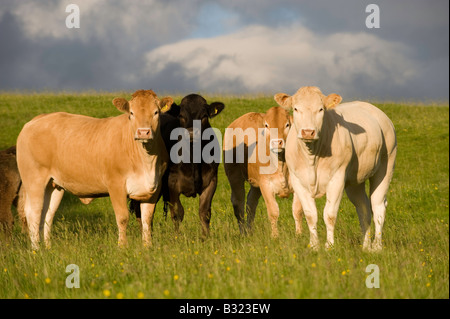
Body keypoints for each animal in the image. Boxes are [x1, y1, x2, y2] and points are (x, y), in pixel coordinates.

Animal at [16, 89, 173, 250]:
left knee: (47, 214)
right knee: (33, 213)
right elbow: (122, 217)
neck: (146, 162)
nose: (143, 132)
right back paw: (36, 249)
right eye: (131, 113)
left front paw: (148, 247)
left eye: (156, 112)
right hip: (34, 179)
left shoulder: (154, 187)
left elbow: (147, 219)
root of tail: (37, 119)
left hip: (54, 185)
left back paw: (48, 248)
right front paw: (122, 247)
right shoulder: (115, 184)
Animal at [131, 94, 225, 239]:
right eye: (181, 116)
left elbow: (205, 212)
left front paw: (206, 238)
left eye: (204, 116)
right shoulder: (172, 183)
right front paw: (178, 237)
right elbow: (177, 212)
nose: (191, 133)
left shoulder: (211, 181)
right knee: (140, 210)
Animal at [224, 107, 304, 238]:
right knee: (238, 202)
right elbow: (273, 211)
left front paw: (299, 235)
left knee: (251, 203)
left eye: (287, 124)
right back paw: (243, 233)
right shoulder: (265, 184)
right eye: (267, 125)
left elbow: (297, 211)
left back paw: (250, 231)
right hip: (234, 174)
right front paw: (275, 236)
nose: (277, 142)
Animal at [274, 87, 398, 252]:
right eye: (295, 108)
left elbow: (330, 215)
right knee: (363, 208)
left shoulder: (337, 179)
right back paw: (365, 246)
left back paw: (377, 246)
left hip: (386, 166)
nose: (308, 132)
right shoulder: (298, 181)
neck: (312, 156)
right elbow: (310, 215)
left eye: (321, 109)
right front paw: (314, 245)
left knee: (378, 207)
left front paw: (330, 245)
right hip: (355, 182)